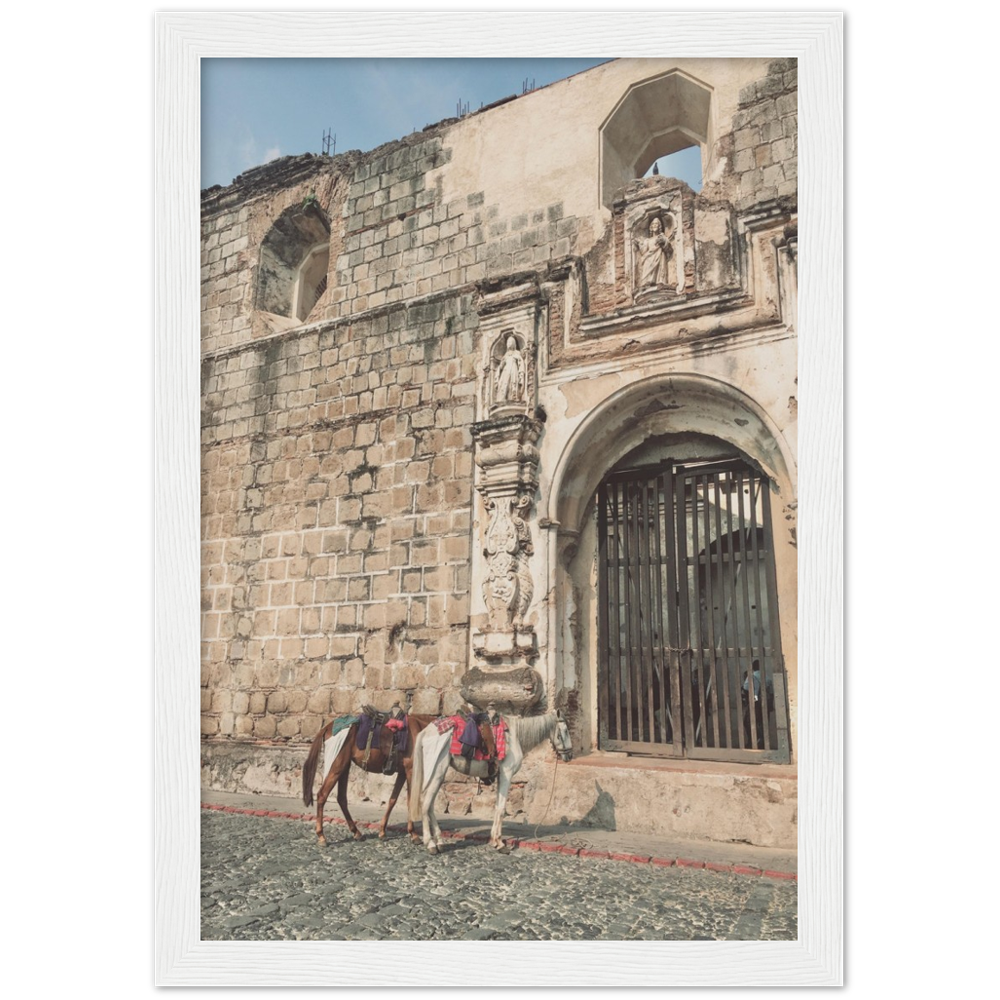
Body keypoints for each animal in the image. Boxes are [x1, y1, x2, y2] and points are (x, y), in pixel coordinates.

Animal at [298, 712, 436, 844]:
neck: (420, 729)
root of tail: (327, 727)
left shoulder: (402, 773)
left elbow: (392, 800)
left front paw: (382, 832)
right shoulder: (410, 771)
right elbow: (409, 801)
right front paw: (414, 835)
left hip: (344, 766)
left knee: (341, 798)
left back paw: (356, 833)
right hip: (337, 766)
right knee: (322, 795)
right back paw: (321, 836)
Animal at [404, 712, 572, 852]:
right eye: (565, 731)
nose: (569, 755)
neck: (515, 736)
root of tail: (425, 732)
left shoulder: (500, 777)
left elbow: (497, 807)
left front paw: (495, 841)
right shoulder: (506, 775)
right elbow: (502, 809)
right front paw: (500, 844)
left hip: (438, 775)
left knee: (430, 805)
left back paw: (439, 841)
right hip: (436, 772)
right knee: (425, 804)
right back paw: (431, 844)